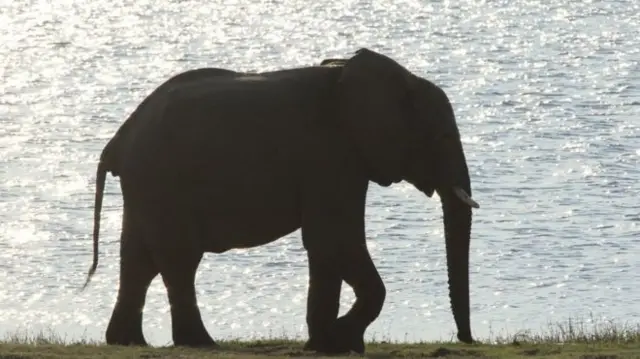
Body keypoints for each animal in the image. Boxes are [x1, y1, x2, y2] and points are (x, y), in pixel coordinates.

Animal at [82, 47, 478, 354]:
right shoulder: (330, 155)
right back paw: (199, 343)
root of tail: (117, 141)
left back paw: (128, 342)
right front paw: (341, 340)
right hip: (163, 181)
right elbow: (333, 240)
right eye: (443, 136)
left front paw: (327, 345)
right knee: (178, 260)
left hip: (146, 186)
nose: (466, 340)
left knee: (138, 259)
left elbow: (325, 248)